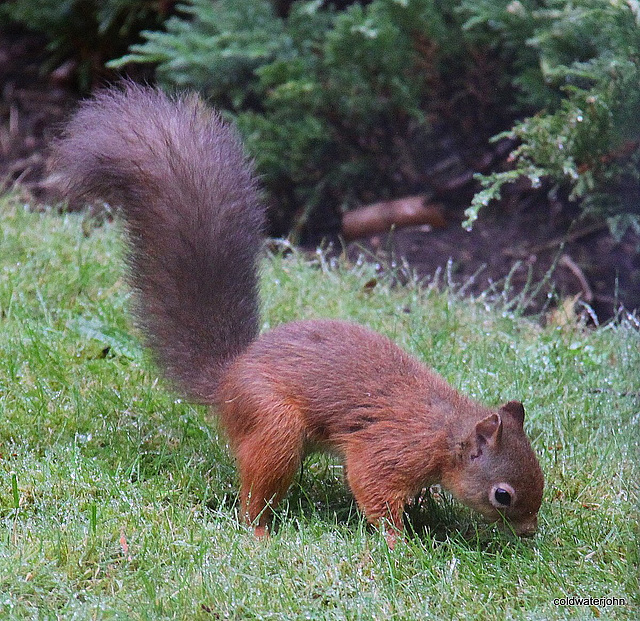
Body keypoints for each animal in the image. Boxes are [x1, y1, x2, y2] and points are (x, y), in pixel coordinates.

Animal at [55, 81, 544, 544]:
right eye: (502, 495)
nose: (528, 532)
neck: (446, 431)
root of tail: (229, 379)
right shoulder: (392, 448)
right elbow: (371, 483)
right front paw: (398, 540)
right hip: (275, 423)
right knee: (257, 487)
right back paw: (258, 531)